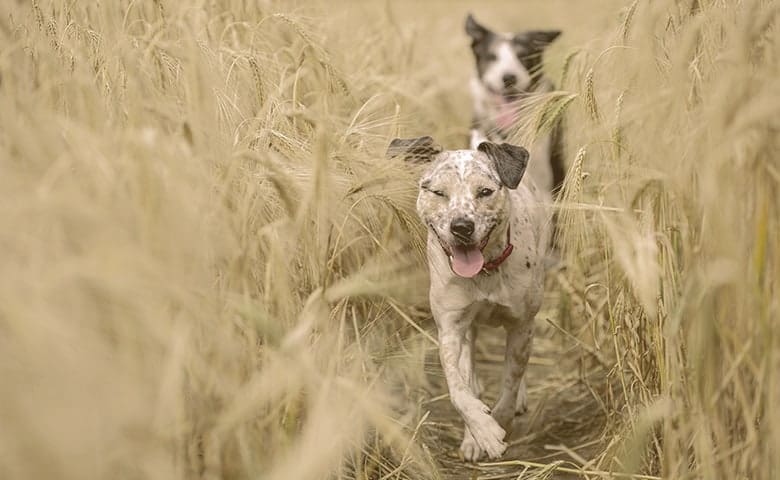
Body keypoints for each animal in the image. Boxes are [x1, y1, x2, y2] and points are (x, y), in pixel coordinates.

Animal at [386, 135, 552, 462]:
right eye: (438, 192)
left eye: (485, 191)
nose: (461, 226)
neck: (485, 271)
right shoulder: (451, 327)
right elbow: (457, 389)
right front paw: (481, 432)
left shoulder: (521, 325)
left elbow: (510, 383)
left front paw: (497, 423)